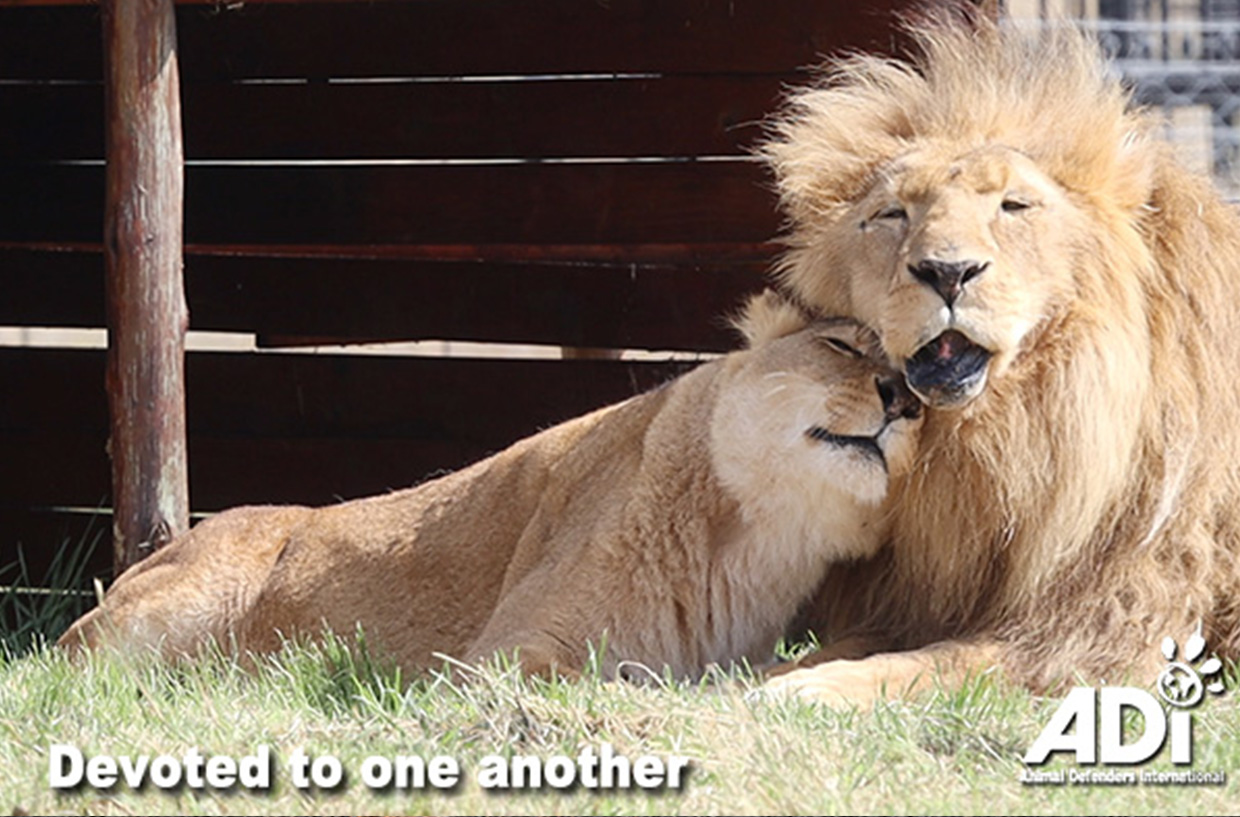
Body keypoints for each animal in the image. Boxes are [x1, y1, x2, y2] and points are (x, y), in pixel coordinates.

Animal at [58, 303, 922, 681]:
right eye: (842, 345)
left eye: (921, 383)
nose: (905, 398)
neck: (757, 540)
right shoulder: (504, 655)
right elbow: (615, 677)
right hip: (169, 608)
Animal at [752, 13, 1240, 706]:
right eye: (892, 213)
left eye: (1014, 206)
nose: (947, 271)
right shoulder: (919, 599)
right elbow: (863, 642)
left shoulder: (1098, 630)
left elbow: (935, 662)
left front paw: (811, 688)